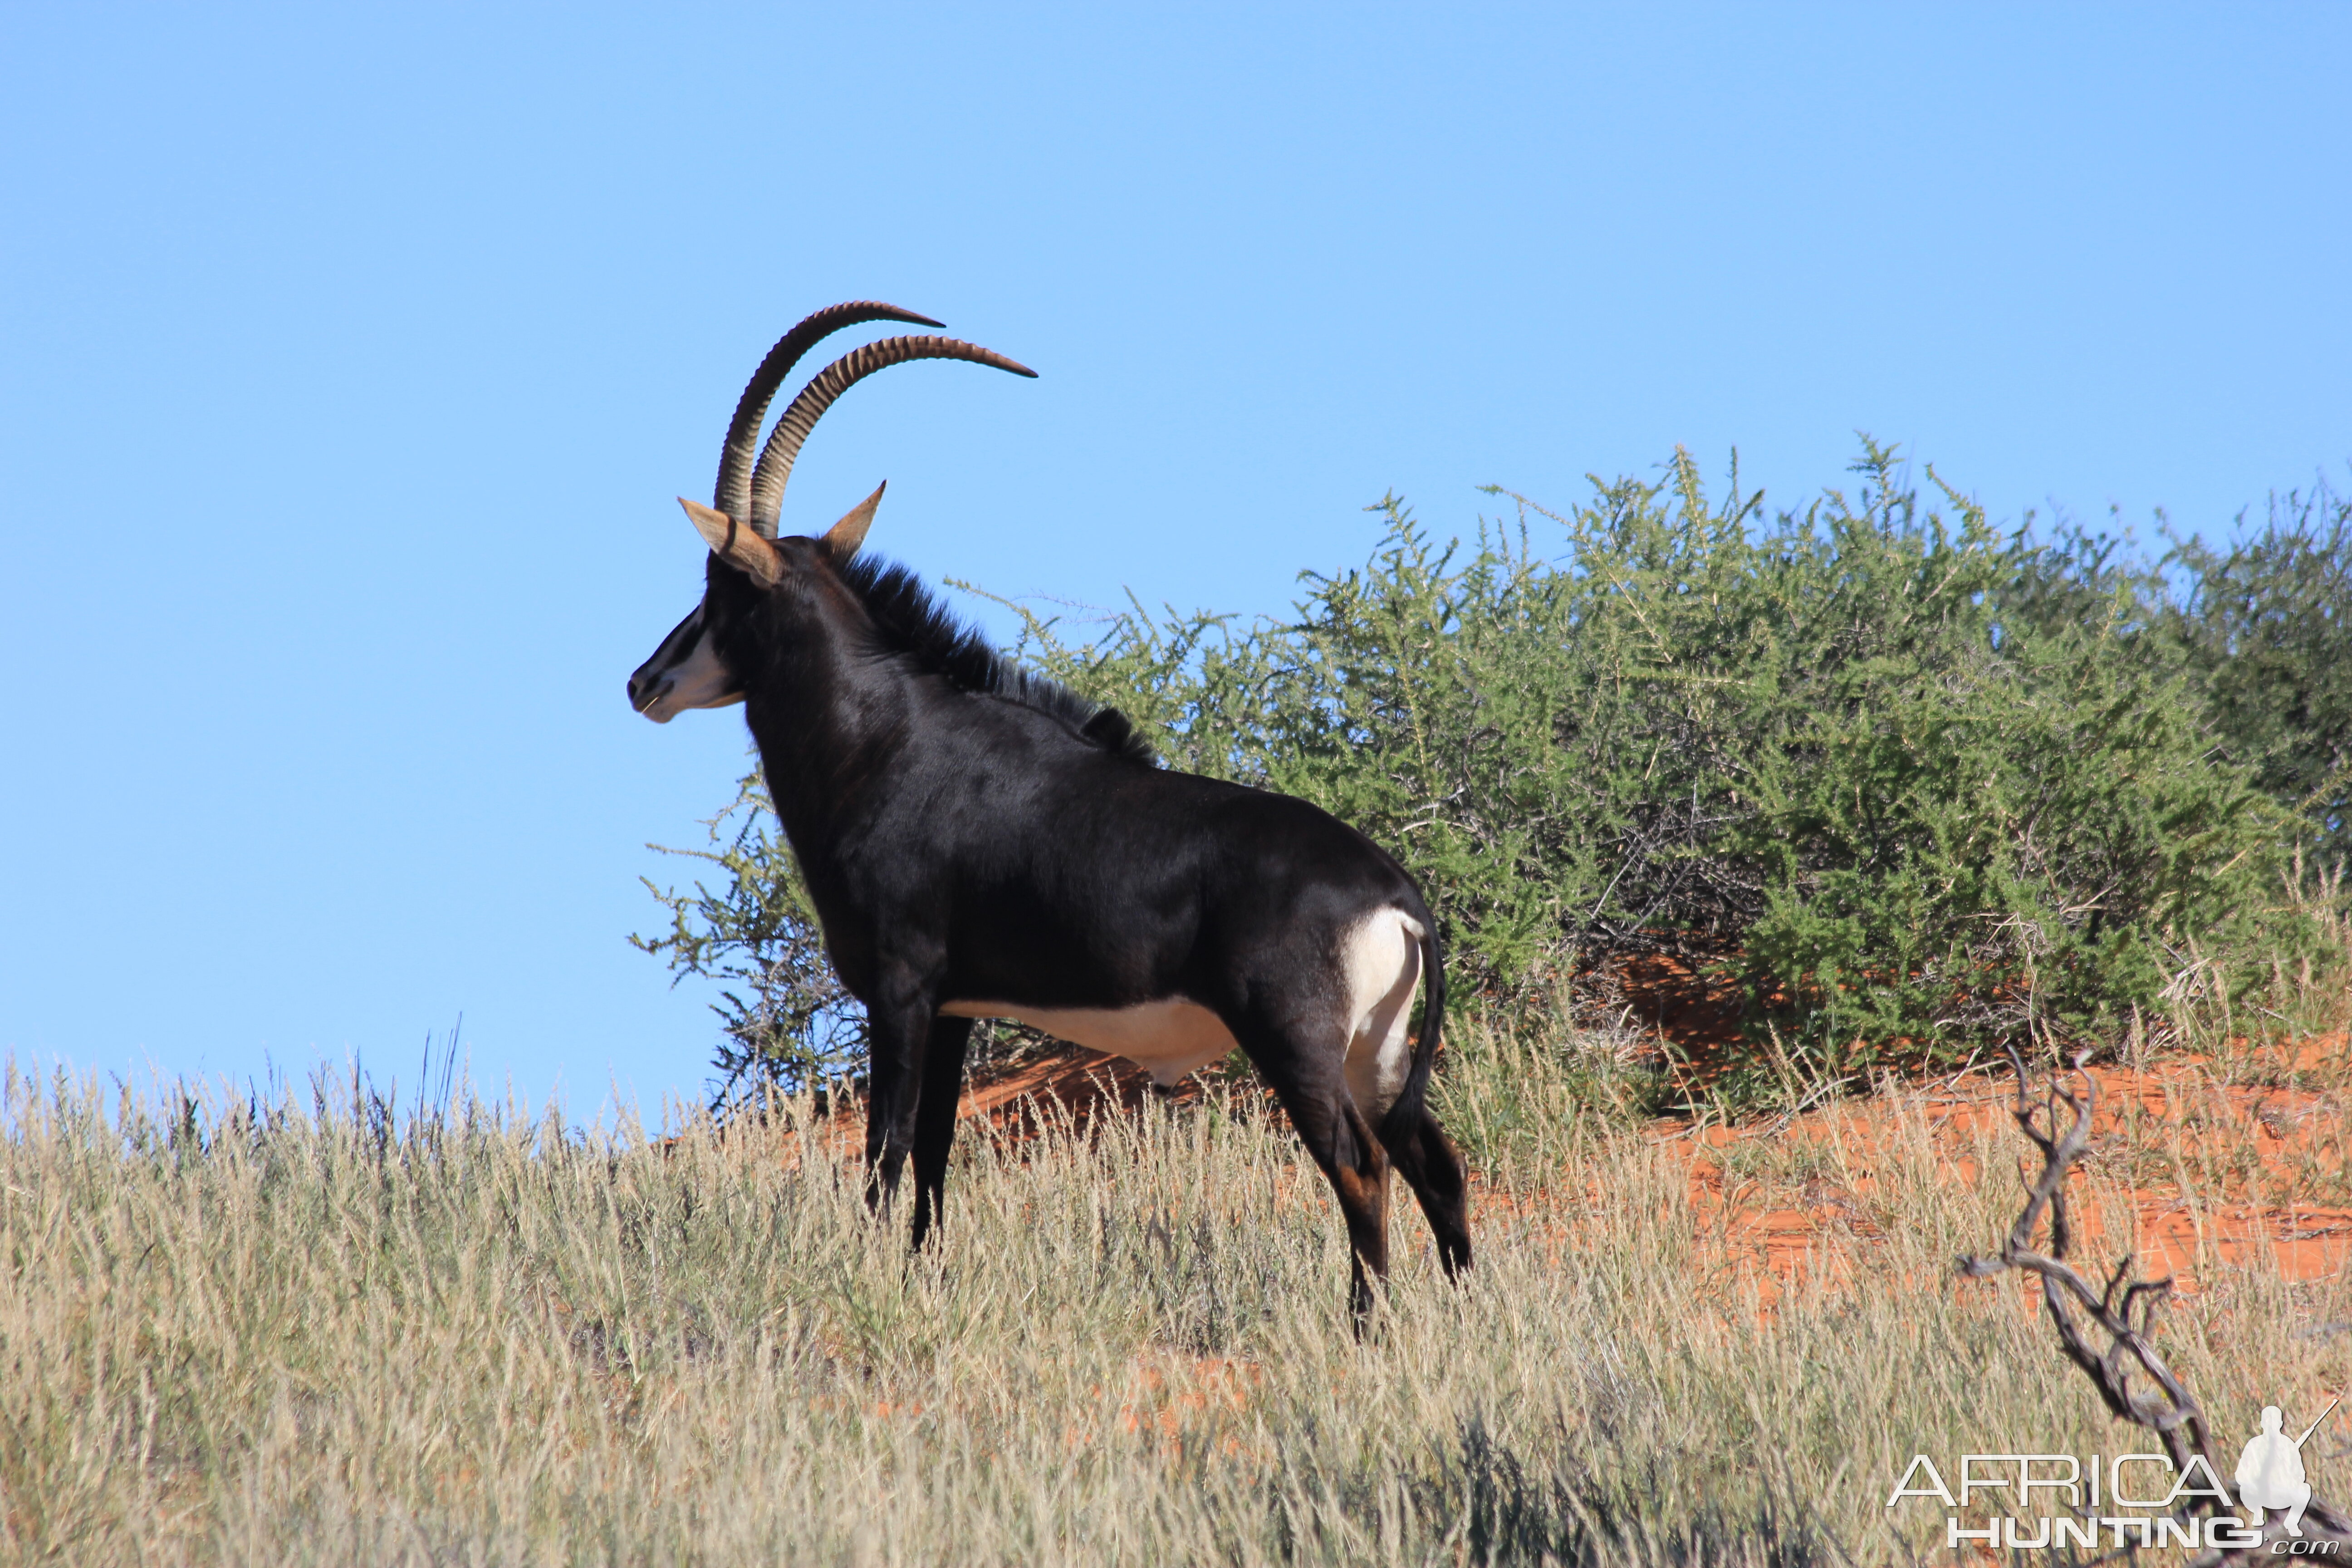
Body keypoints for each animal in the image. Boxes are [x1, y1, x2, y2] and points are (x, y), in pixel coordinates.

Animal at [625, 303, 1467, 1316]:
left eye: (718, 589)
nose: (644, 682)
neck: (892, 740)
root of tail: (1398, 898)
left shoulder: (901, 990)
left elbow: (885, 1152)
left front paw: (862, 1280)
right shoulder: (956, 1007)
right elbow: (937, 1154)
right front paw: (923, 1283)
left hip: (1297, 1045)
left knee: (1360, 1166)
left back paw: (1364, 1328)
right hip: (1372, 1055)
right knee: (1436, 1167)